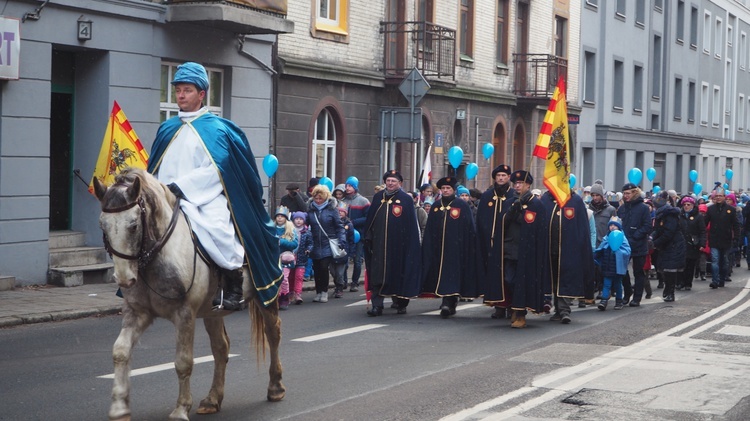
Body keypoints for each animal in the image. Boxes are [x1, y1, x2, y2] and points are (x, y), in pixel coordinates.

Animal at [94, 168, 282, 420]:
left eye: (133, 226)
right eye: (102, 226)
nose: (124, 279)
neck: (158, 256)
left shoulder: (185, 314)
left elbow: (183, 362)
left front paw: (181, 408)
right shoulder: (138, 313)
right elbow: (120, 351)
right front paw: (119, 408)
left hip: (267, 293)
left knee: (273, 334)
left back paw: (275, 387)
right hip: (213, 311)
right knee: (221, 348)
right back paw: (212, 399)